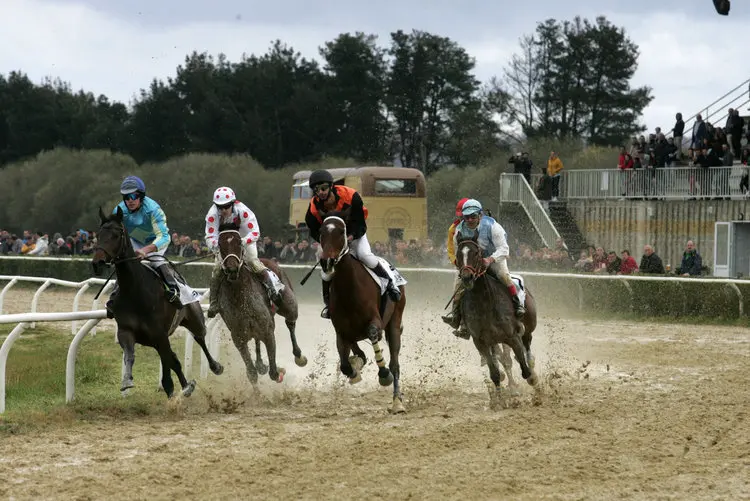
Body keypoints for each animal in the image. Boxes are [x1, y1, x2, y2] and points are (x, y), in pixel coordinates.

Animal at [91, 207, 223, 398]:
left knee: (199, 338)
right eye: (98, 235)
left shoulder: (160, 334)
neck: (135, 292)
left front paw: (178, 389)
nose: (98, 263)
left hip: (193, 318)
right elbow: (131, 355)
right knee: (173, 357)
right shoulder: (126, 331)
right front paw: (127, 380)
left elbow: (170, 363)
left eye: (116, 235)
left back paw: (215, 366)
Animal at [216, 222, 306, 382]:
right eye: (220, 244)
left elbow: (274, 373)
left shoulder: (268, 332)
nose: (232, 269)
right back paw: (260, 364)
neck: (240, 298)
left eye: (239, 243)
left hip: (289, 305)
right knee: (257, 341)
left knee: (290, 323)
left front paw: (279, 370)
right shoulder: (239, 339)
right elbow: (251, 373)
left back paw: (299, 356)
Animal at [320, 209, 408, 412]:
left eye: (341, 231)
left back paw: (397, 402)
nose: (327, 261)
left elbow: (373, 333)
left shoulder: (375, 321)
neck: (349, 290)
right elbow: (345, 365)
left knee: (395, 364)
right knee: (358, 352)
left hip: (395, 320)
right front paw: (354, 370)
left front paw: (383, 374)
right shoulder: (341, 332)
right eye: (321, 232)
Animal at [452, 232, 540, 408]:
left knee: (528, 355)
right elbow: (495, 373)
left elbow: (524, 369)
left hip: (527, 330)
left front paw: (521, 390)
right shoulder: (481, 342)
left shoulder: (512, 337)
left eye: (476, 253)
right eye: (458, 254)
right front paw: (499, 401)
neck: (485, 303)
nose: (467, 277)